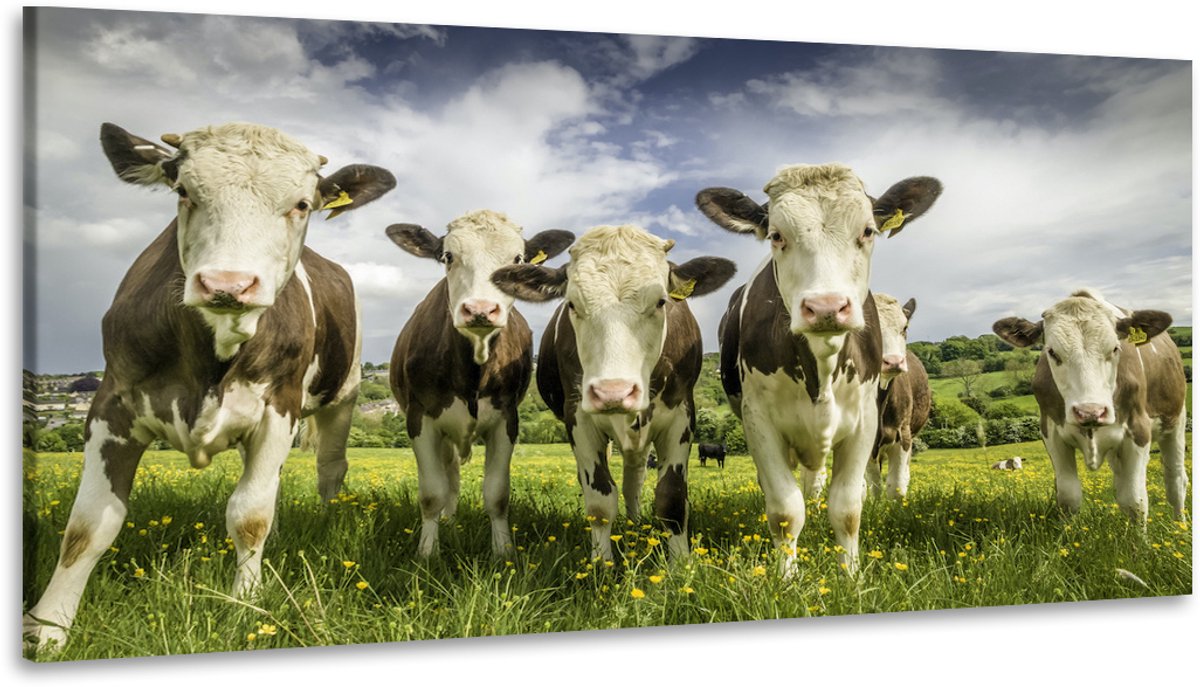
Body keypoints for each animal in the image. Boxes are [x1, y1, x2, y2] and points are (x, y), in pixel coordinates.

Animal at [24, 123, 396, 651]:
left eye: (302, 203)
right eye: (183, 190)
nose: (228, 283)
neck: (213, 357)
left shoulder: (278, 408)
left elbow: (250, 515)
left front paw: (246, 604)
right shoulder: (111, 404)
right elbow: (88, 525)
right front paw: (49, 628)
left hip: (341, 396)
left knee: (330, 468)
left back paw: (326, 517)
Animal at [385, 211, 573, 557]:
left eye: (518, 259)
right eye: (448, 256)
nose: (481, 309)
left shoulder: (506, 419)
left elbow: (497, 494)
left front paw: (504, 552)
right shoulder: (419, 418)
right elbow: (432, 493)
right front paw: (427, 552)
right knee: (450, 478)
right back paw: (448, 522)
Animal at [491, 225, 736, 559]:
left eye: (661, 301)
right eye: (572, 304)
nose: (613, 392)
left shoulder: (681, 415)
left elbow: (672, 498)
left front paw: (681, 562)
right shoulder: (578, 417)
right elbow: (600, 500)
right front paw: (601, 562)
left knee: (634, 477)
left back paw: (635, 523)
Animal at [993, 289, 1187, 521]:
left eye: (1115, 348)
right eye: (1052, 352)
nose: (1090, 412)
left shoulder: (1138, 430)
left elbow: (1135, 500)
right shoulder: (1051, 432)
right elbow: (1069, 496)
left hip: (1177, 421)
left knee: (1176, 480)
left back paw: (1179, 524)